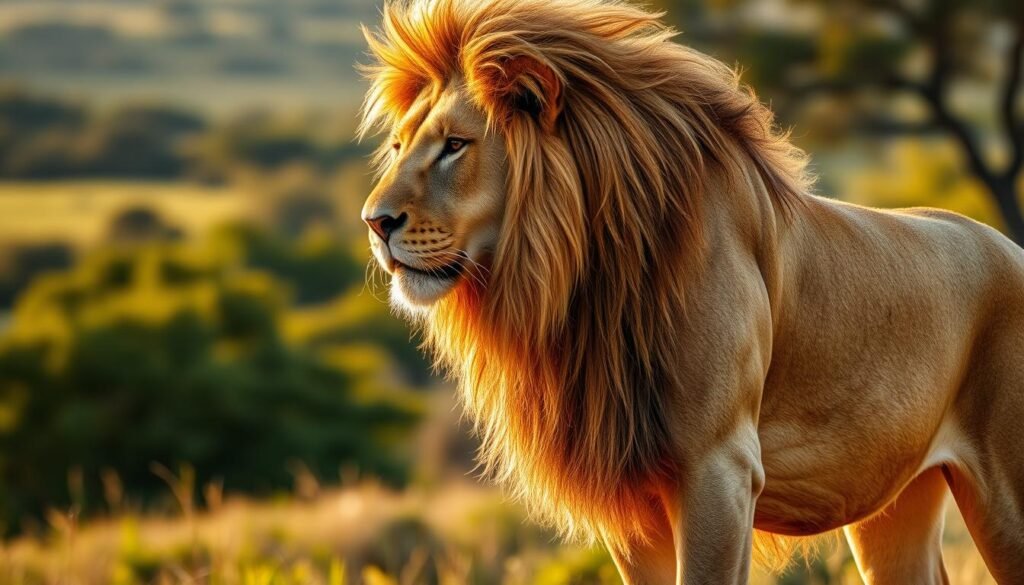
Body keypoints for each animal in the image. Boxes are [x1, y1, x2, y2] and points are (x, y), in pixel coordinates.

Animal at [357, 0, 1024, 582]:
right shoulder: (632, 493)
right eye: (397, 147)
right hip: (895, 507)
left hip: (1005, 499)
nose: (374, 222)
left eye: (455, 145)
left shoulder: (719, 467)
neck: (587, 281)